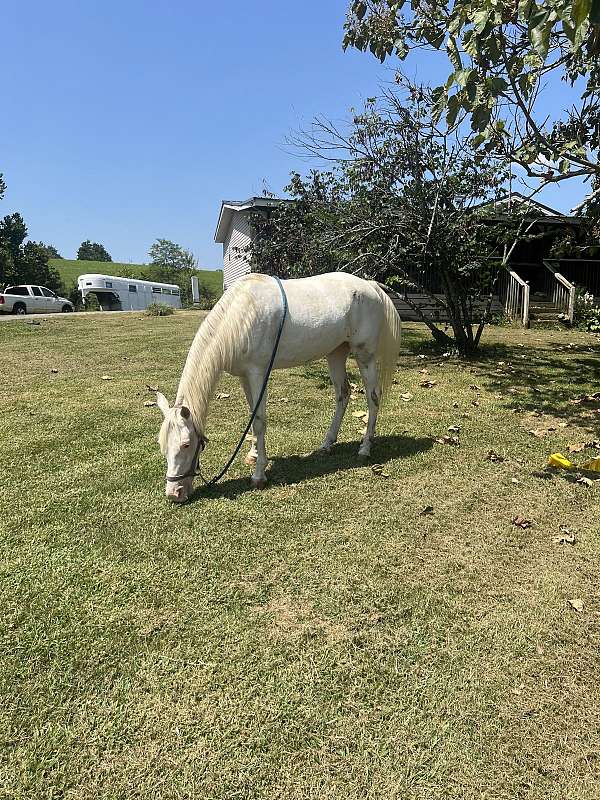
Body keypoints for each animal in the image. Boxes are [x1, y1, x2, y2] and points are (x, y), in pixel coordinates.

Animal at [159, 272, 404, 504]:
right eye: (162, 446)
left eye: (186, 445)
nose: (175, 494)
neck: (241, 316)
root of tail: (370, 285)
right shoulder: (244, 376)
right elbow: (253, 415)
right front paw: (253, 454)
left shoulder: (258, 374)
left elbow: (259, 421)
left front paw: (259, 476)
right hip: (336, 352)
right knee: (342, 393)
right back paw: (327, 444)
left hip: (365, 355)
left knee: (373, 397)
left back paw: (365, 448)